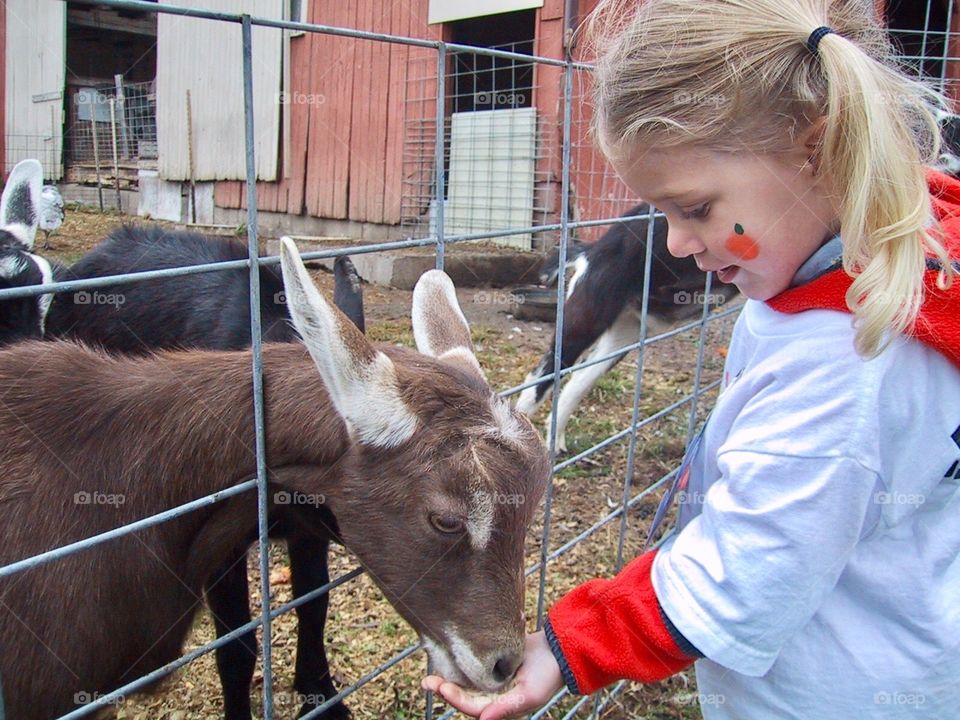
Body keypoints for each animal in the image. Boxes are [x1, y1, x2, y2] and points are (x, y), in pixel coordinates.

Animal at [512, 205, 740, 450]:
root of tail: (591, 252)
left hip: (623, 335)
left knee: (578, 381)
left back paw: (556, 442)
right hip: (585, 319)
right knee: (539, 378)